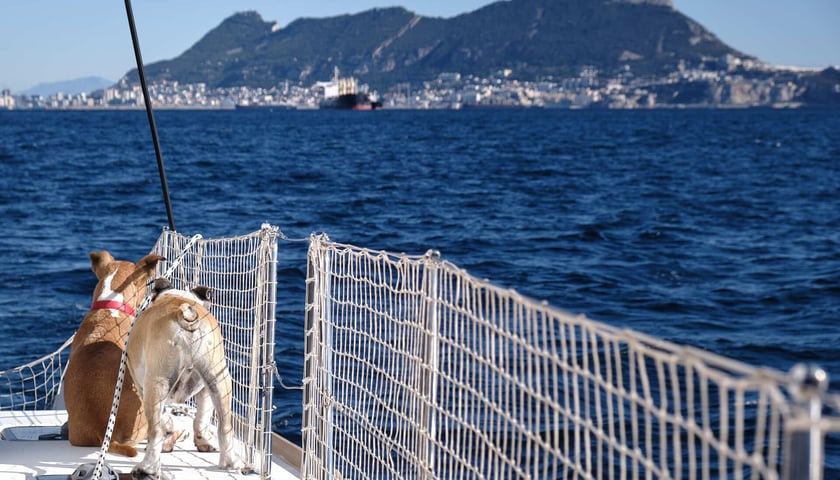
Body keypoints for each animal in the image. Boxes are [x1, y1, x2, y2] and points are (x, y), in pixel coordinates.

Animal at [124, 278, 244, 476]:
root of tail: (186, 315)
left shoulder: (142, 387)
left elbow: (165, 420)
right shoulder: (205, 389)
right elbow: (201, 418)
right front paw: (203, 442)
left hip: (156, 383)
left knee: (155, 430)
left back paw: (147, 468)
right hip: (218, 379)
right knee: (225, 425)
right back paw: (231, 463)